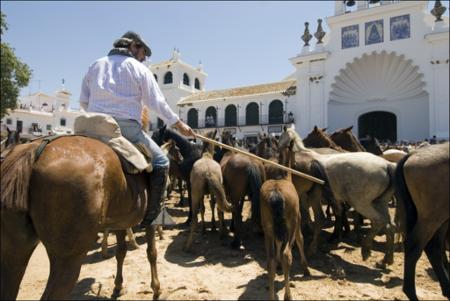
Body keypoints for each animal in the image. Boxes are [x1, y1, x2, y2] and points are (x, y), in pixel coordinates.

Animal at [0, 135, 162, 298]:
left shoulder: (121, 223)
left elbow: (121, 252)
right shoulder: (152, 220)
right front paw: (156, 289)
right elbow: (152, 252)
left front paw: (118, 286)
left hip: (14, 254)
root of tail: (36, 150)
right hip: (68, 260)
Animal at [396, 142, 448, 298]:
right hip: (431, 218)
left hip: (441, 218)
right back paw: (410, 292)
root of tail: (413, 154)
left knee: (434, 247)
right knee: (414, 247)